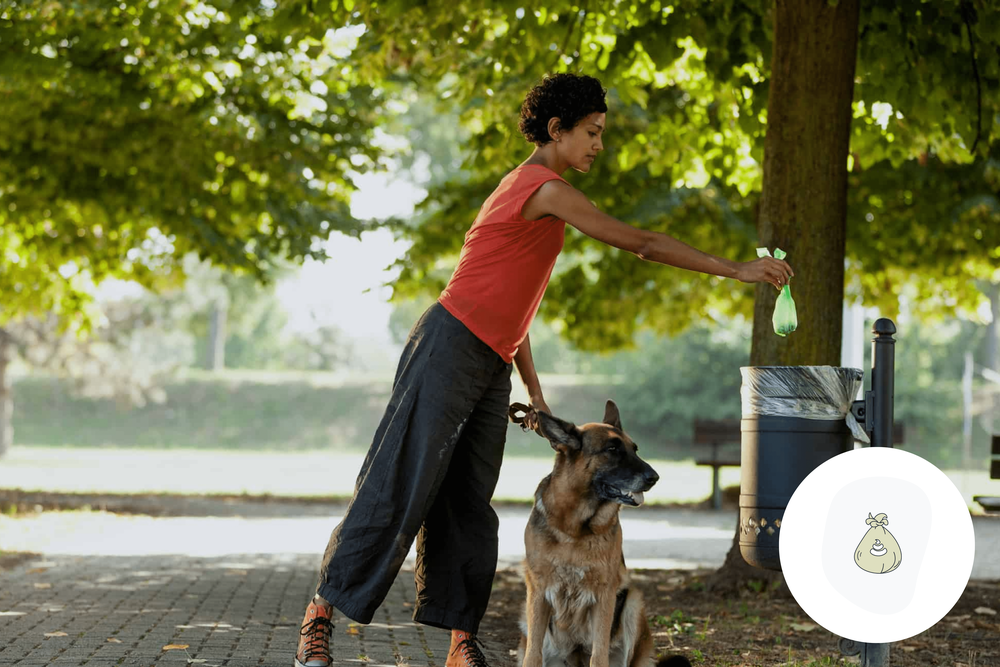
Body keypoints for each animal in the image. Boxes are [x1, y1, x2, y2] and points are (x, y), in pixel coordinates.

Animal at [512, 402, 692, 667]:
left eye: (634, 449)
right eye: (612, 449)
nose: (655, 478)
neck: (574, 529)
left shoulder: (604, 595)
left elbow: (599, 656)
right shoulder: (537, 592)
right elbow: (532, 655)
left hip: (633, 604)